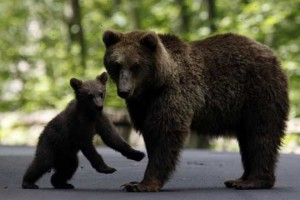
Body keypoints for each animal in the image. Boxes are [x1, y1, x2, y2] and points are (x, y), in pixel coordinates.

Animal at [102, 30, 288, 191]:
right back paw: (239, 179)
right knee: (247, 138)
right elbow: (150, 132)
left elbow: (166, 132)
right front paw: (134, 182)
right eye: (117, 64)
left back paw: (254, 180)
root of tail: (272, 54)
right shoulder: (141, 105)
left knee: (261, 134)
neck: (152, 87)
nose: (124, 91)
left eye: (136, 65)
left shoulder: (173, 93)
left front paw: (143, 184)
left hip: (259, 92)